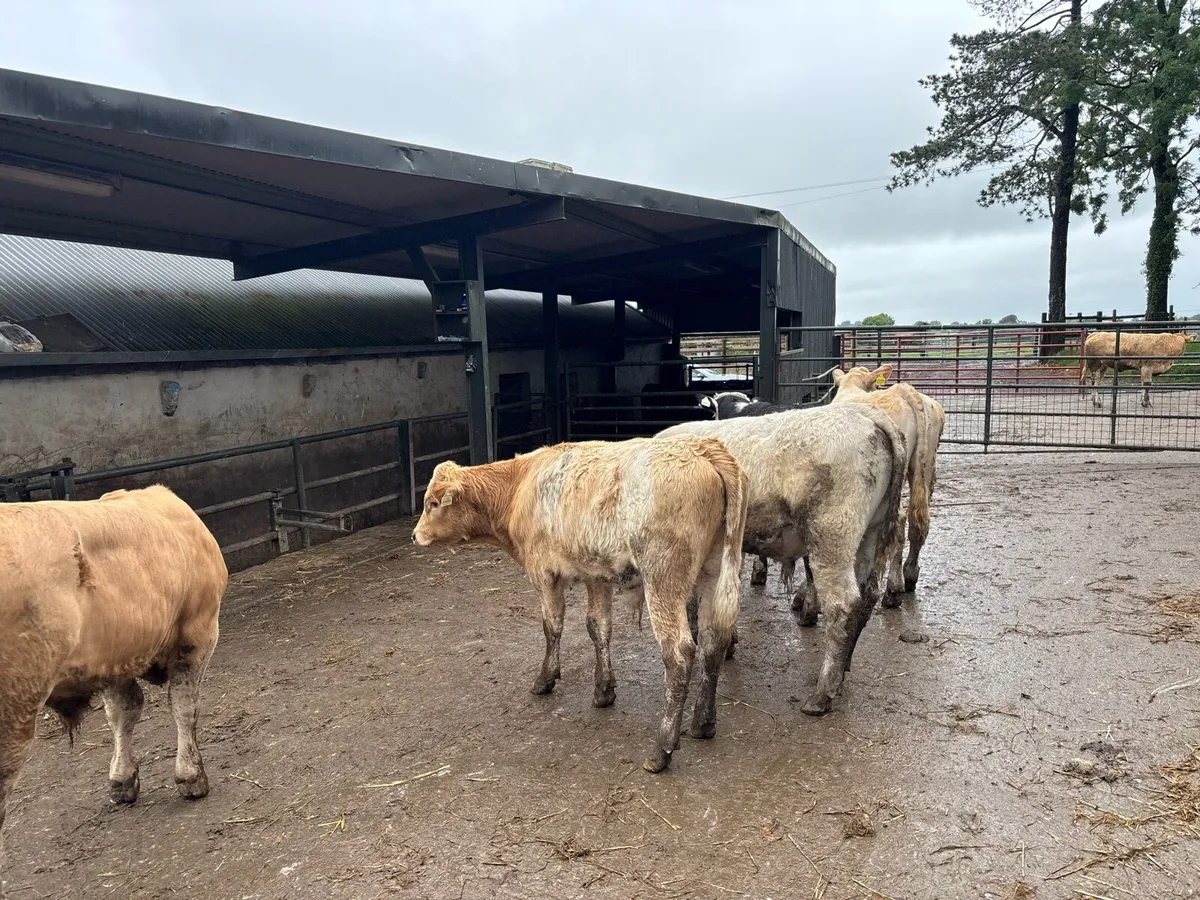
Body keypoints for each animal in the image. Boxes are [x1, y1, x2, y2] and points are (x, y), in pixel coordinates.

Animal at [1, 485, 227, 886]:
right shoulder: (198, 633)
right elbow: (185, 706)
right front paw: (191, 776)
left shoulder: (110, 657)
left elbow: (123, 711)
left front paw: (122, 780)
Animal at [411, 436, 748, 774]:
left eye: (433, 504)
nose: (414, 535)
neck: (519, 485)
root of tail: (701, 448)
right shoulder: (596, 575)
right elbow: (598, 627)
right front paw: (603, 690)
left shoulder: (545, 574)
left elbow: (552, 627)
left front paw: (545, 679)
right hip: (713, 572)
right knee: (713, 642)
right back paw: (703, 722)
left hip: (663, 579)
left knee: (679, 653)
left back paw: (662, 749)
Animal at [657, 404, 907, 715]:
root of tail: (864, 413)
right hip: (869, 533)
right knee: (868, 594)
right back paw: (842, 671)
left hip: (832, 534)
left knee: (843, 606)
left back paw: (822, 694)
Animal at [832, 364, 946, 602]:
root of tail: (904, 391)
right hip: (924, 465)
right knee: (917, 521)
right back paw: (908, 576)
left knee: (899, 518)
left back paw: (892, 588)